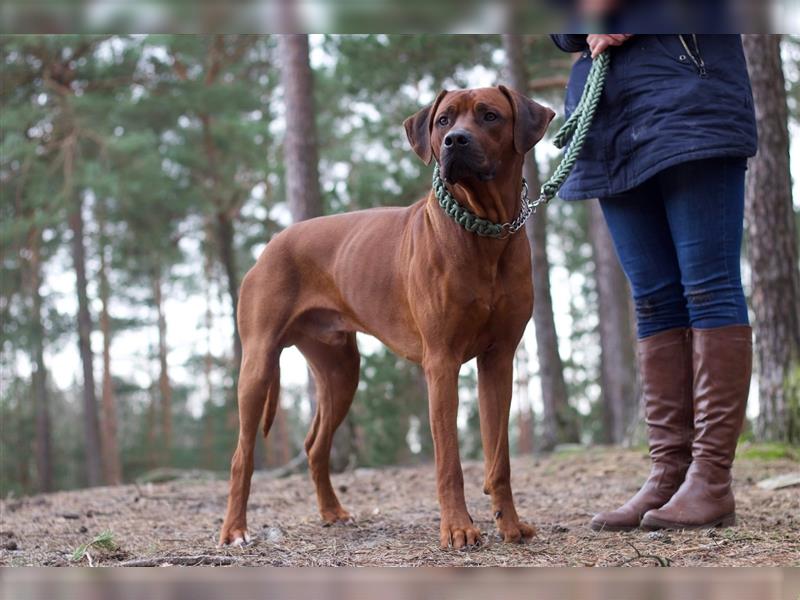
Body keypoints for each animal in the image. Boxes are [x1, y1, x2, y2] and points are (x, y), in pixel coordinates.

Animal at [219, 84, 556, 548]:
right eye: (443, 121)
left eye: (490, 116)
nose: (455, 142)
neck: (482, 231)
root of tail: (271, 244)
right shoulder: (441, 363)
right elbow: (448, 461)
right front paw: (458, 528)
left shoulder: (499, 359)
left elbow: (499, 457)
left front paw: (509, 524)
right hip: (258, 363)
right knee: (241, 454)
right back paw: (234, 529)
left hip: (341, 370)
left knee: (315, 445)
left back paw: (332, 512)